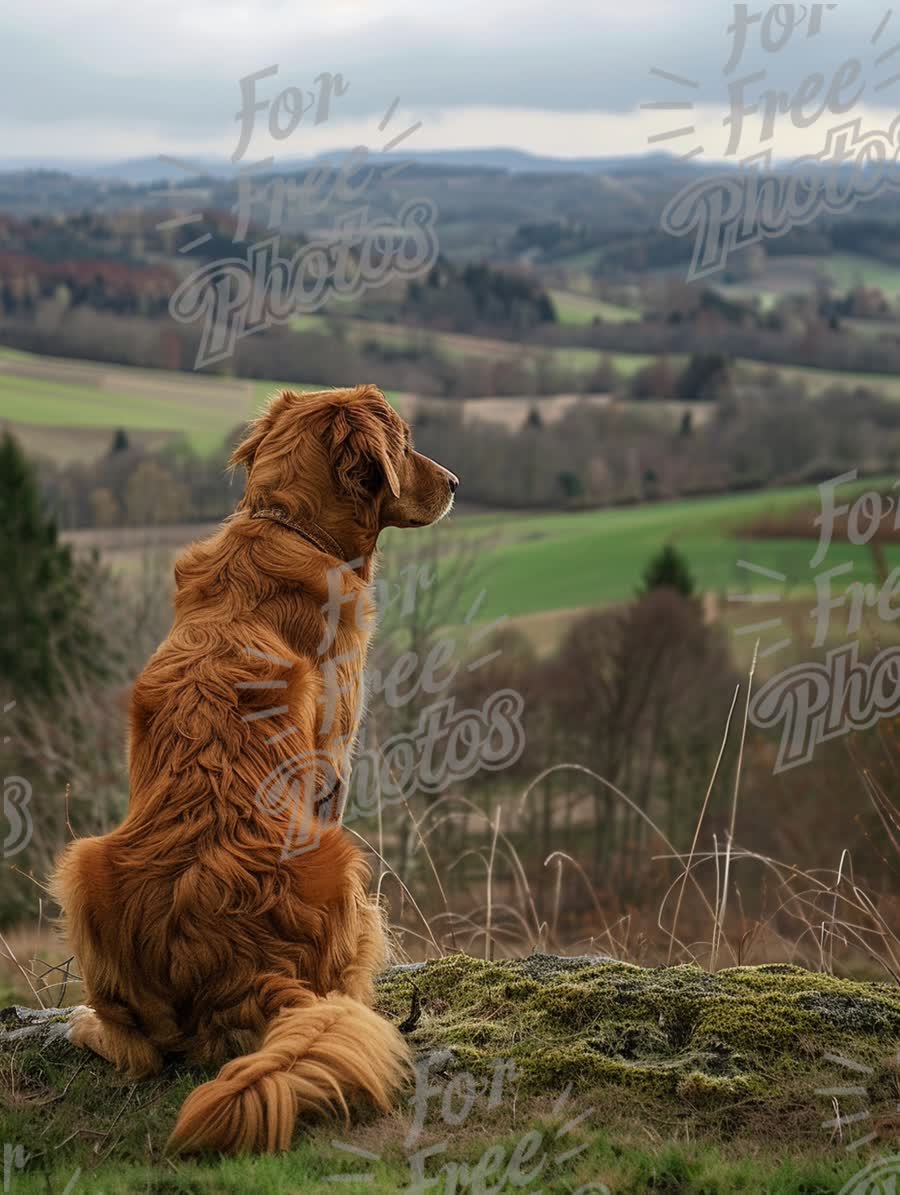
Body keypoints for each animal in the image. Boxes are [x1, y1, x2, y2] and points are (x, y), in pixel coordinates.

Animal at [50, 387, 456, 1151]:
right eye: (405, 439)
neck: (290, 527)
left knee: (145, 1044)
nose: (455, 482)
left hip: (85, 865)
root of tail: (241, 966)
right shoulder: (336, 761)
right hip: (345, 864)